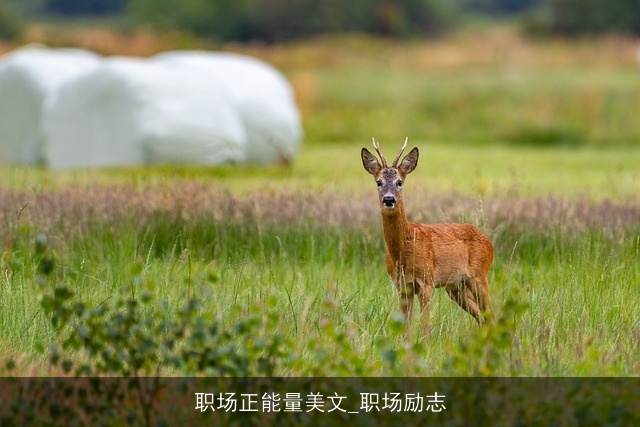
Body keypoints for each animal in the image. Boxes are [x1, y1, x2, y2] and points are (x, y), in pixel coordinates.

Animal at [360, 139, 496, 330]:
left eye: (400, 182)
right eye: (378, 182)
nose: (389, 199)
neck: (402, 250)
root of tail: (489, 242)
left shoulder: (426, 281)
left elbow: (425, 325)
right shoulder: (402, 286)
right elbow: (406, 327)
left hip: (479, 276)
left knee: (491, 314)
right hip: (456, 287)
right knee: (482, 317)